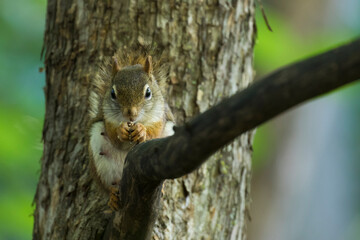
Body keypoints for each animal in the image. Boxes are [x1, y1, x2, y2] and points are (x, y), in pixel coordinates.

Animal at [87, 47, 174, 210]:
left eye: (148, 93)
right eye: (113, 93)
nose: (130, 113)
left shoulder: (160, 117)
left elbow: (154, 133)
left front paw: (141, 131)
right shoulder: (108, 119)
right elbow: (114, 136)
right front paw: (121, 131)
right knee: (109, 187)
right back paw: (113, 196)